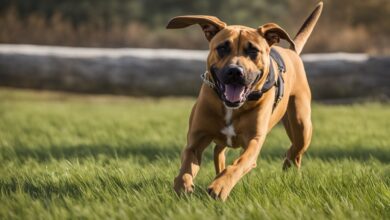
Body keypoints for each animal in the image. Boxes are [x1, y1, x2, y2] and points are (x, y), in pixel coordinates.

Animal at [167, 2, 322, 201]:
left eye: (253, 51)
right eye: (222, 48)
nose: (235, 71)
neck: (232, 107)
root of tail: (291, 51)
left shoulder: (253, 142)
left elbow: (239, 163)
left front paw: (220, 186)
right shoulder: (195, 139)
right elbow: (187, 161)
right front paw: (183, 185)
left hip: (301, 124)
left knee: (294, 152)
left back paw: (289, 172)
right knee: (219, 151)